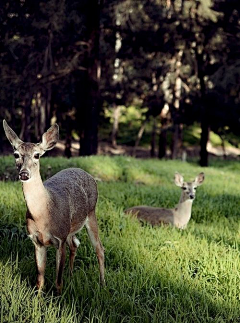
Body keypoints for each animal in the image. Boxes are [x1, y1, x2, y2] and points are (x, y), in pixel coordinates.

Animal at [3, 120, 105, 294]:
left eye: (37, 155)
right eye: (16, 154)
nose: (24, 174)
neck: (43, 214)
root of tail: (85, 172)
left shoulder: (60, 239)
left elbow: (58, 280)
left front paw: (58, 298)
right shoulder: (36, 240)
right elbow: (40, 278)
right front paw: (38, 297)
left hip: (91, 213)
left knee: (99, 248)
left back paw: (103, 284)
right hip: (71, 228)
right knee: (75, 244)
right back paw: (71, 274)